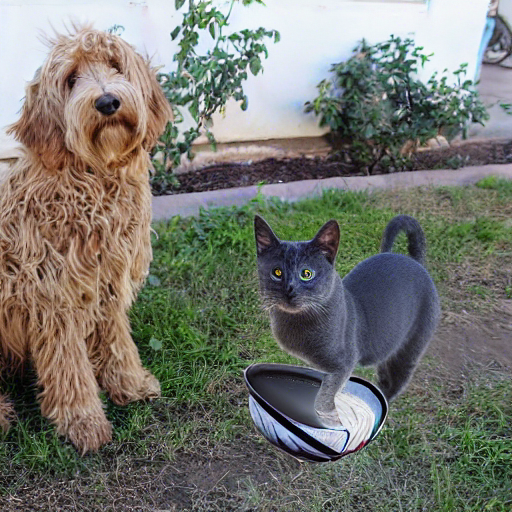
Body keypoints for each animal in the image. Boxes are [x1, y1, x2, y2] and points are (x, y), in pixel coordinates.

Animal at [0, 26, 173, 454]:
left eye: (115, 64)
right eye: (71, 78)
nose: (108, 101)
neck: (93, 179)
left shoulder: (106, 280)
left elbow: (116, 340)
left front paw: (130, 383)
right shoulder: (52, 296)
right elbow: (68, 365)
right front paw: (83, 420)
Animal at [254, 214, 440, 428]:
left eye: (306, 274)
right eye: (277, 273)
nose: (289, 291)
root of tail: (414, 262)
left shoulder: (344, 363)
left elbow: (325, 396)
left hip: (409, 348)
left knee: (392, 383)